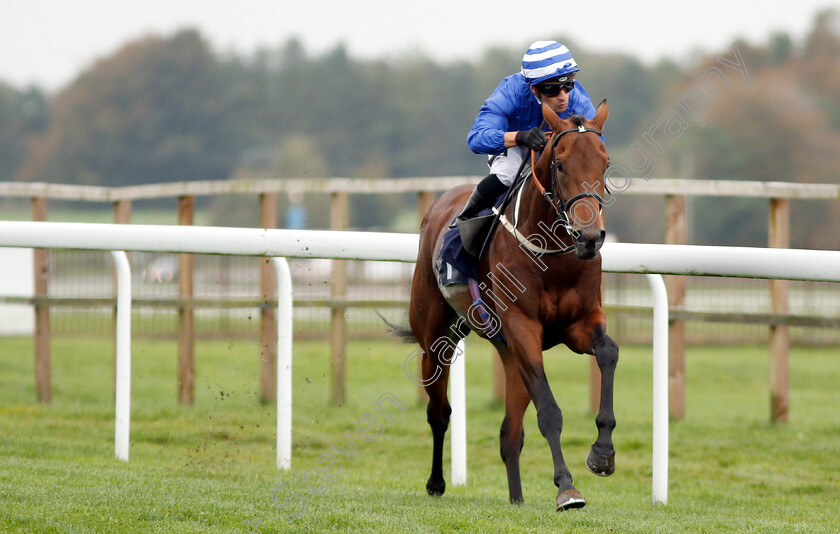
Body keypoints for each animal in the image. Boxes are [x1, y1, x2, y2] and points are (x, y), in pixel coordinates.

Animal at [406, 101, 616, 516]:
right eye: (561, 165)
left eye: (605, 163)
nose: (589, 237)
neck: (553, 255)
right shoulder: (523, 328)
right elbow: (549, 411)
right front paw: (566, 488)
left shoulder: (579, 324)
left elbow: (608, 352)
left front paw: (602, 453)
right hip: (434, 335)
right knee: (439, 411)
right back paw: (436, 482)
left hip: (507, 352)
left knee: (509, 433)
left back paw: (516, 498)